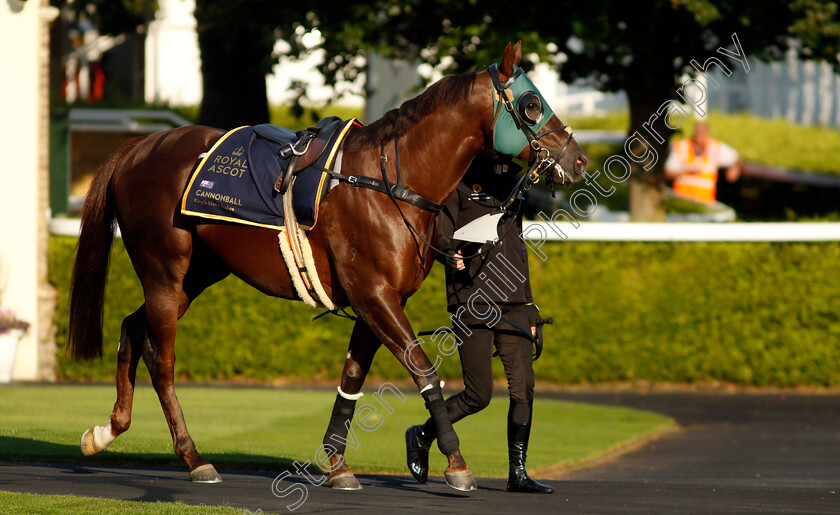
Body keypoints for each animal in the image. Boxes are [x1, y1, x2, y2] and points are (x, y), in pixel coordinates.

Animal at [69, 42, 588, 490]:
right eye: (532, 104)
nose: (579, 158)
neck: (388, 182)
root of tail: (139, 147)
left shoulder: (377, 302)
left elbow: (352, 380)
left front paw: (337, 465)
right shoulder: (375, 296)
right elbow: (423, 370)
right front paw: (455, 461)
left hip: (195, 275)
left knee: (132, 328)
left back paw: (108, 430)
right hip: (165, 270)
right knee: (162, 361)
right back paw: (194, 457)